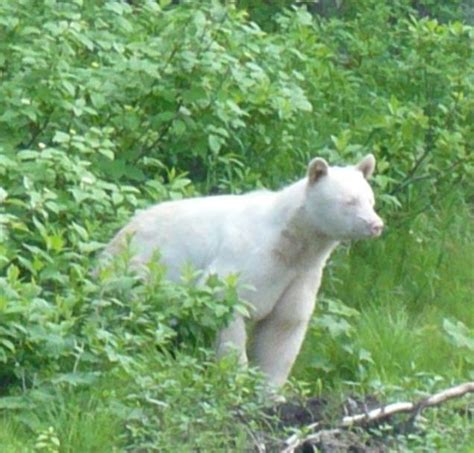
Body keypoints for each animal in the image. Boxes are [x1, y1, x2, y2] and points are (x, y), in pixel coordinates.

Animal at [102, 154, 384, 384]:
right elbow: (225, 305)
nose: (376, 225)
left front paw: (270, 393)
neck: (289, 242)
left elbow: (283, 328)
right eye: (349, 201)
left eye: (370, 199)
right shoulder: (247, 260)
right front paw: (235, 378)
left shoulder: (301, 274)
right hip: (139, 272)